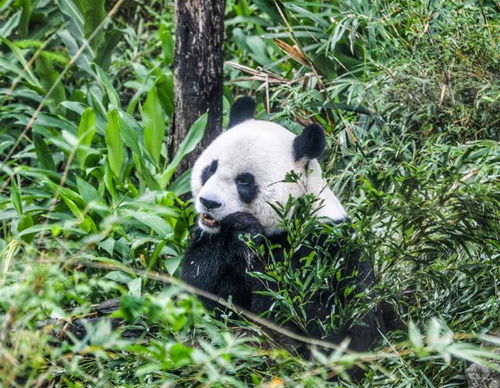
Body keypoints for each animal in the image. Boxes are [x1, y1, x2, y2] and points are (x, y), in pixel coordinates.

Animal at [182, 97, 380, 358]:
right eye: (211, 168)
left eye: (244, 181)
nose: (209, 202)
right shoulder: (208, 239)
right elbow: (196, 294)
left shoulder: (327, 246)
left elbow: (307, 313)